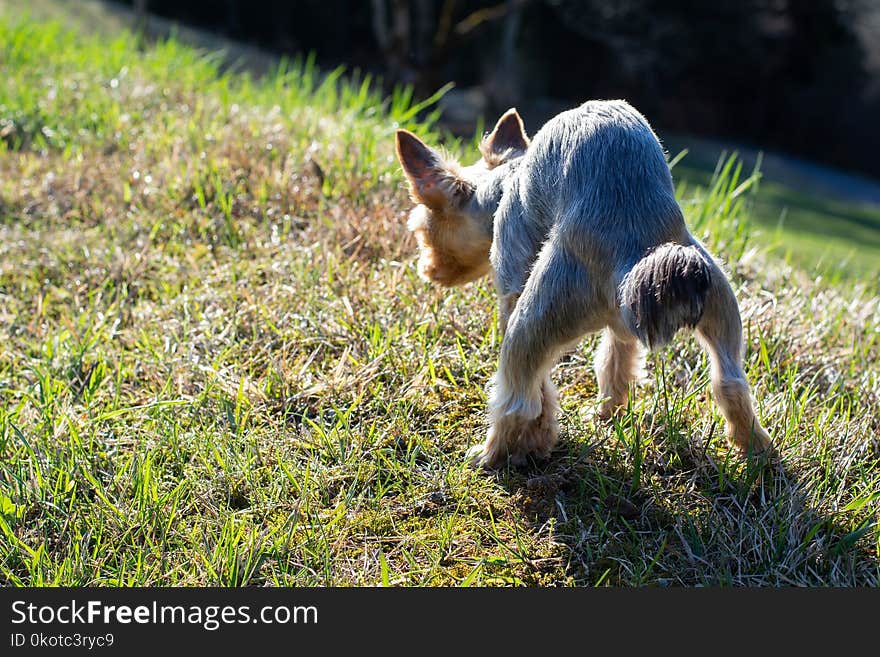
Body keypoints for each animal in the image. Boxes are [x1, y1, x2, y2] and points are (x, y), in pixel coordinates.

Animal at [394, 98, 768, 466]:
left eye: (421, 231)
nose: (428, 269)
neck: (503, 185)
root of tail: (632, 248)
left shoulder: (513, 284)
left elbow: (540, 392)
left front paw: (537, 440)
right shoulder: (623, 327)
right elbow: (617, 362)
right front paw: (597, 416)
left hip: (542, 308)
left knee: (516, 401)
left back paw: (489, 455)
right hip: (718, 297)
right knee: (730, 380)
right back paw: (755, 448)